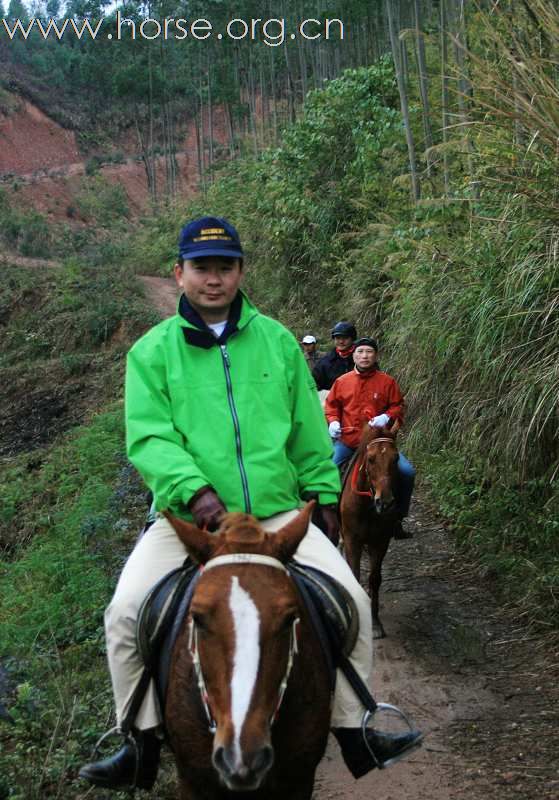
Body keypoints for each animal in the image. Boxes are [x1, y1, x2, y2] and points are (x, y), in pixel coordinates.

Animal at [340, 424, 400, 636]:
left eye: (396, 458)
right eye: (371, 459)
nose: (386, 502)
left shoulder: (380, 541)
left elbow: (374, 579)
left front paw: (374, 623)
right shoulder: (352, 540)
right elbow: (355, 575)